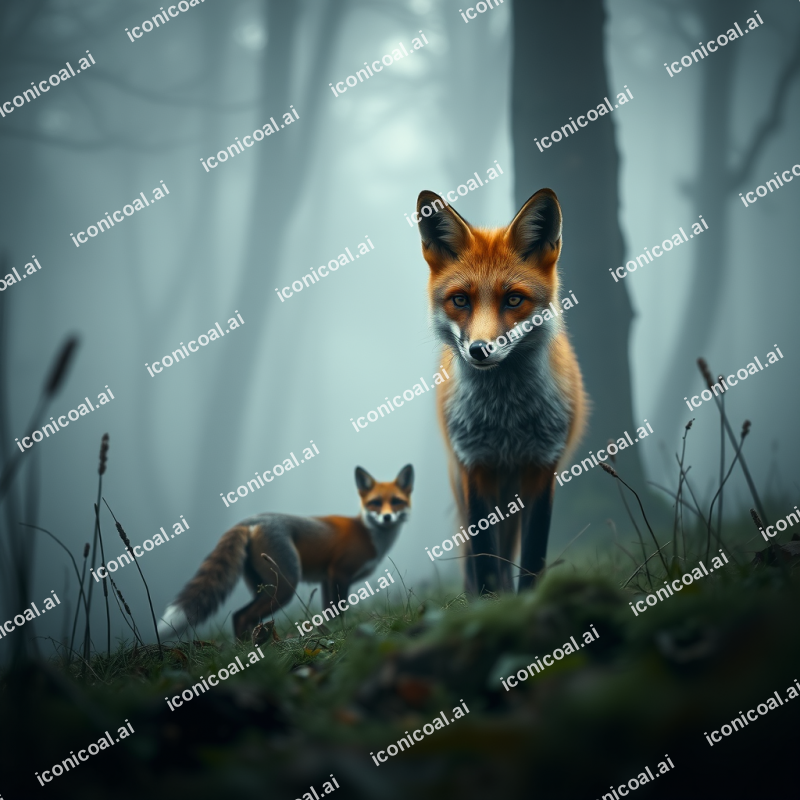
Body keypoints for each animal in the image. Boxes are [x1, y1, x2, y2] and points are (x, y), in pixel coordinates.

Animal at [158, 464, 413, 640]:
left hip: (263, 586)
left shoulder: (326, 579)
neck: (368, 534)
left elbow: (328, 612)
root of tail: (251, 520)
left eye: (396, 501)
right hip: (285, 585)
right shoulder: (339, 573)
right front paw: (341, 632)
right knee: (241, 616)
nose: (387, 517)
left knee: (243, 618)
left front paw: (328, 632)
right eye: (376, 503)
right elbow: (339, 611)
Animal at [416, 187, 586, 595]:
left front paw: (526, 602)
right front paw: (491, 603)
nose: (480, 350)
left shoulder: (542, 466)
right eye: (460, 300)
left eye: (513, 299)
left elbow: (533, 558)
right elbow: (484, 562)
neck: (505, 419)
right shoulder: (474, 467)